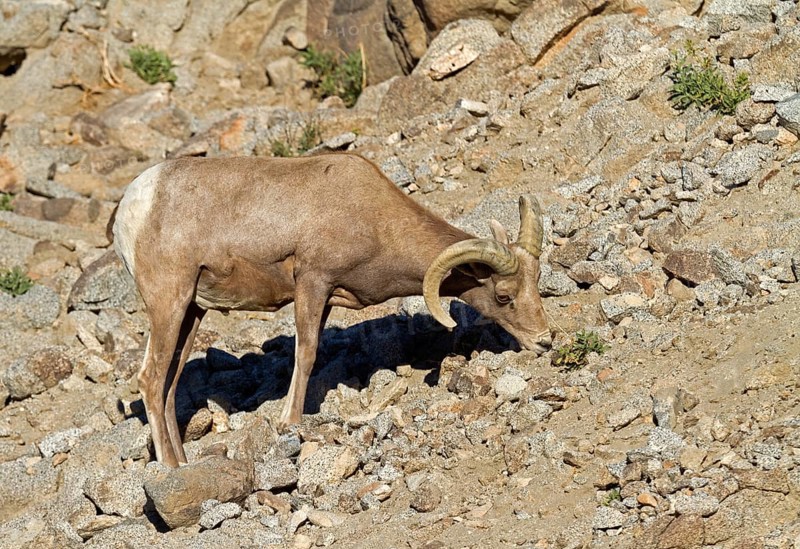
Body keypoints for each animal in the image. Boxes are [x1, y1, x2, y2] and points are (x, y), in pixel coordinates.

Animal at [112, 153, 552, 467]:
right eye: (504, 297)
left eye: (536, 282)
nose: (545, 341)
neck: (372, 218)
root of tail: (133, 204)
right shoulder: (312, 282)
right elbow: (305, 355)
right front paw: (288, 423)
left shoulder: (324, 298)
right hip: (169, 302)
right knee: (150, 379)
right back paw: (170, 468)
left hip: (191, 312)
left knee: (168, 386)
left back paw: (184, 463)